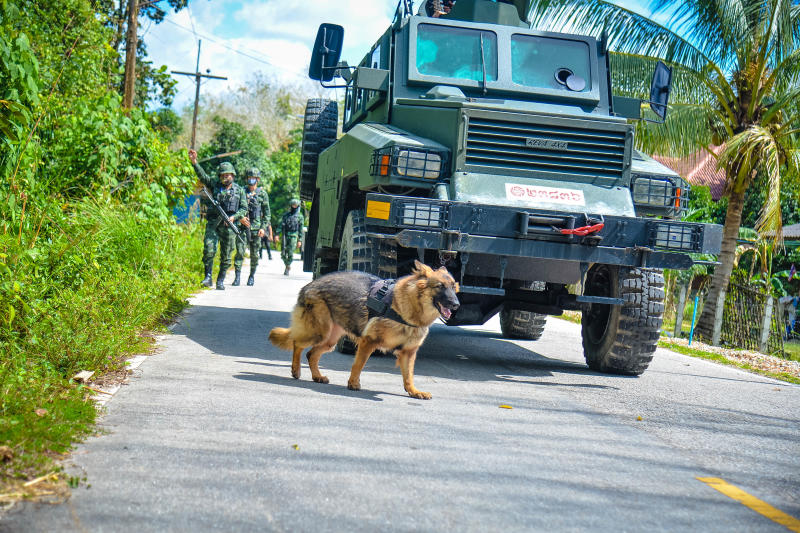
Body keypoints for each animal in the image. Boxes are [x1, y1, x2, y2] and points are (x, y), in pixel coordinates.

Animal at [268, 260, 460, 402]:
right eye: (440, 286)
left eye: (453, 287)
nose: (456, 304)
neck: (408, 309)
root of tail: (310, 284)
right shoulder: (369, 341)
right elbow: (358, 364)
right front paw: (353, 383)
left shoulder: (408, 352)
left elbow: (408, 375)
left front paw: (413, 391)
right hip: (318, 333)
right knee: (297, 343)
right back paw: (296, 370)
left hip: (329, 340)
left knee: (311, 354)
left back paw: (317, 376)